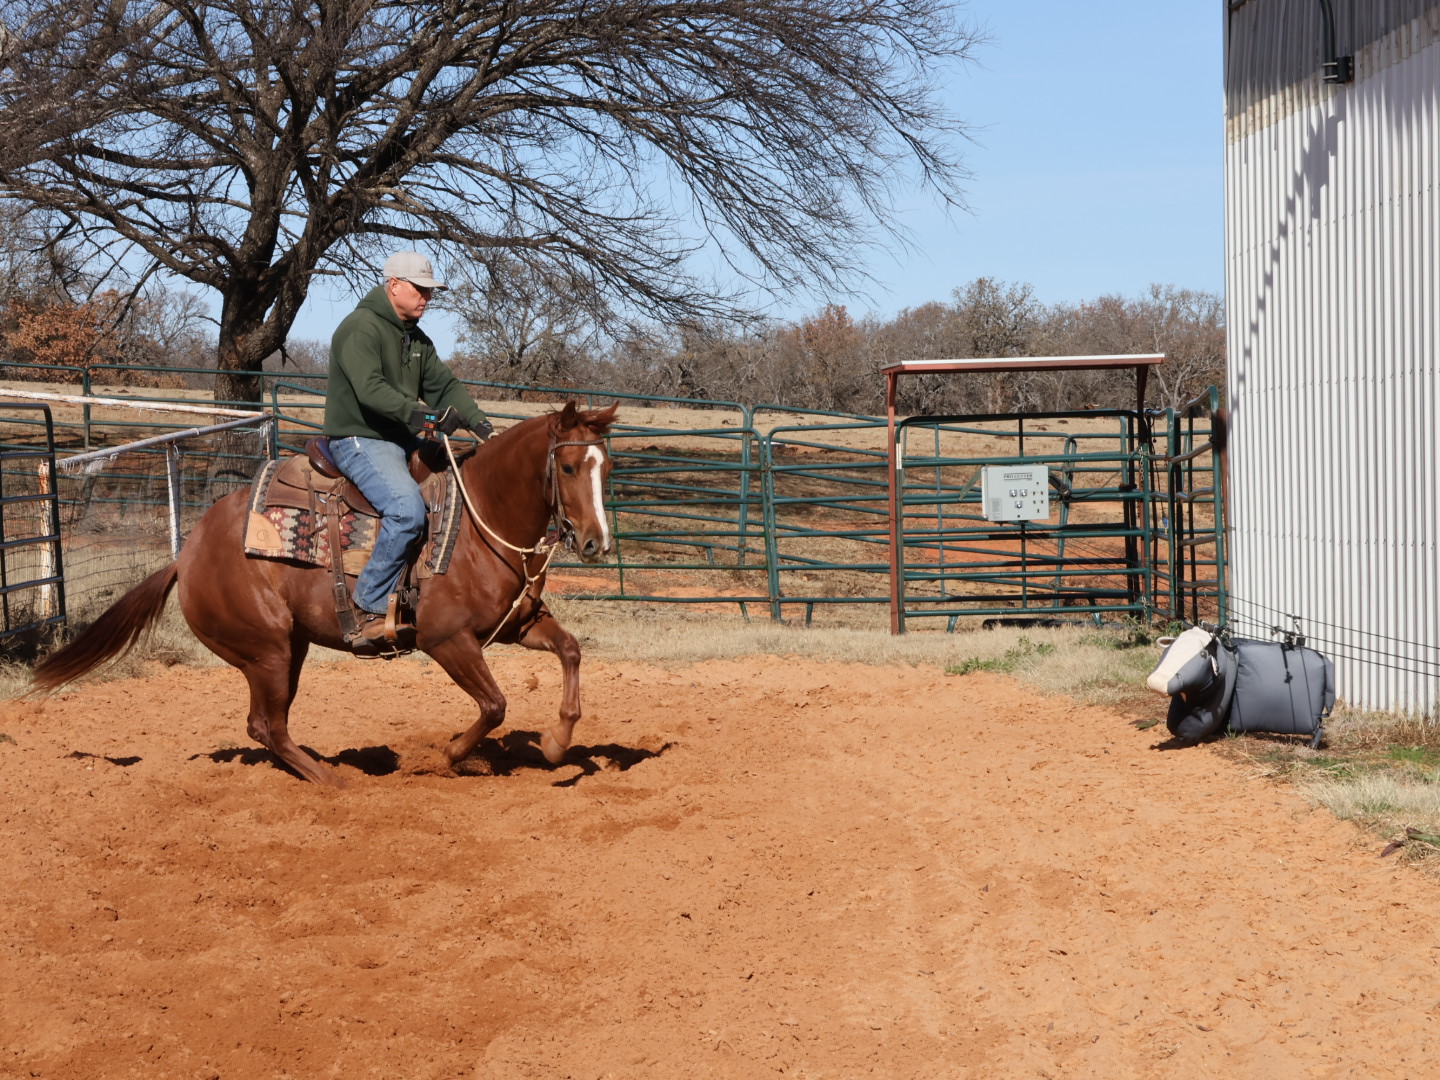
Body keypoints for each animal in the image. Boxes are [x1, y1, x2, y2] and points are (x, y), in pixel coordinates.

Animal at [29, 401, 619, 786]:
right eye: (568, 466)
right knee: (269, 726)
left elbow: (571, 651)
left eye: (605, 467)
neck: (478, 522)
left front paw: (556, 743)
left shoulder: (518, 625)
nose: (596, 542)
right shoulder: (446, 639)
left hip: (288, 650)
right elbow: (495, 705)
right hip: (267, 650)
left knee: (264, 725)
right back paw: (334, 782)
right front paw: (446, 755)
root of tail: (187, 555)